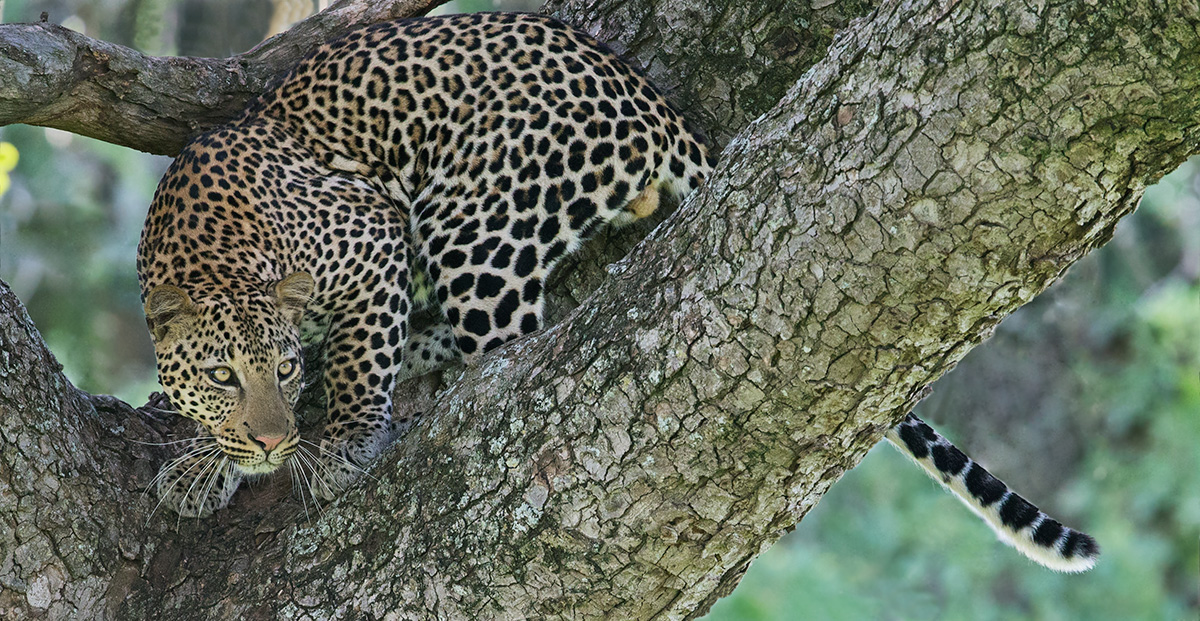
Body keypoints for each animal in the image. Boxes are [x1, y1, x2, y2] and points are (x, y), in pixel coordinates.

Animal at [137, 11, 1097, 572]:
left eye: (281, 368)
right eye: (224, 375)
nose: (271, 438)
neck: (203, 250)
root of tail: (648, 99)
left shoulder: (370, 234)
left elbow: (360, 356)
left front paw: (337, 444)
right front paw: (201, 461)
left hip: (474, 223)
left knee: (508, 353)